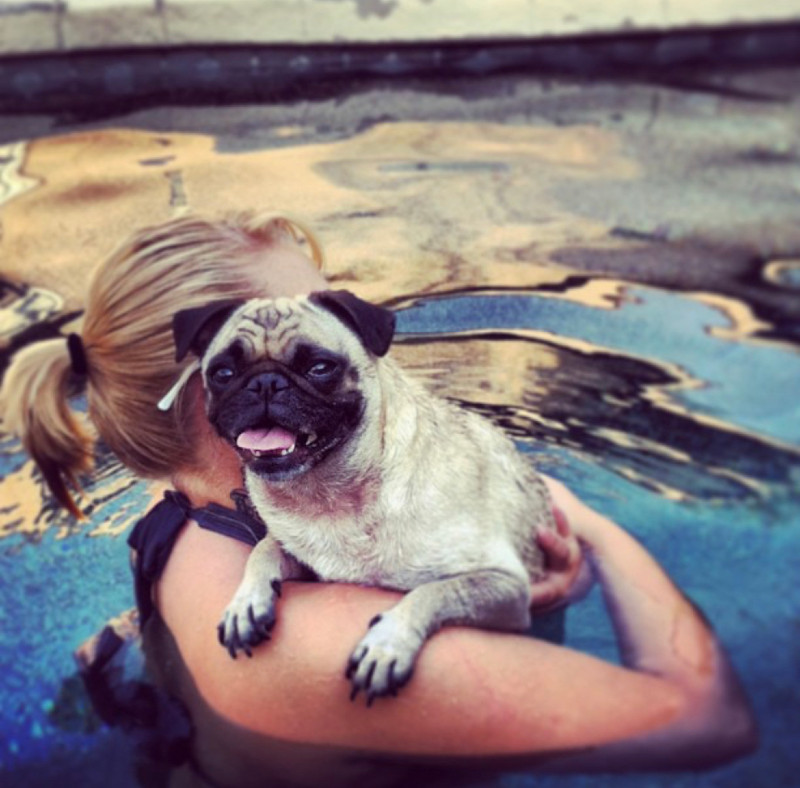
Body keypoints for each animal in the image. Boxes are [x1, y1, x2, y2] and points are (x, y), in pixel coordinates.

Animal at [171, 290, 552, 700]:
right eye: (223, 374)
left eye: (320, 367)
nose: (265, 383)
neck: (327, 495)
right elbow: (264, 549)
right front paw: (246, 603)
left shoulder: (505, 587)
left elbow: (434, 591)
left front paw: (388, 641)